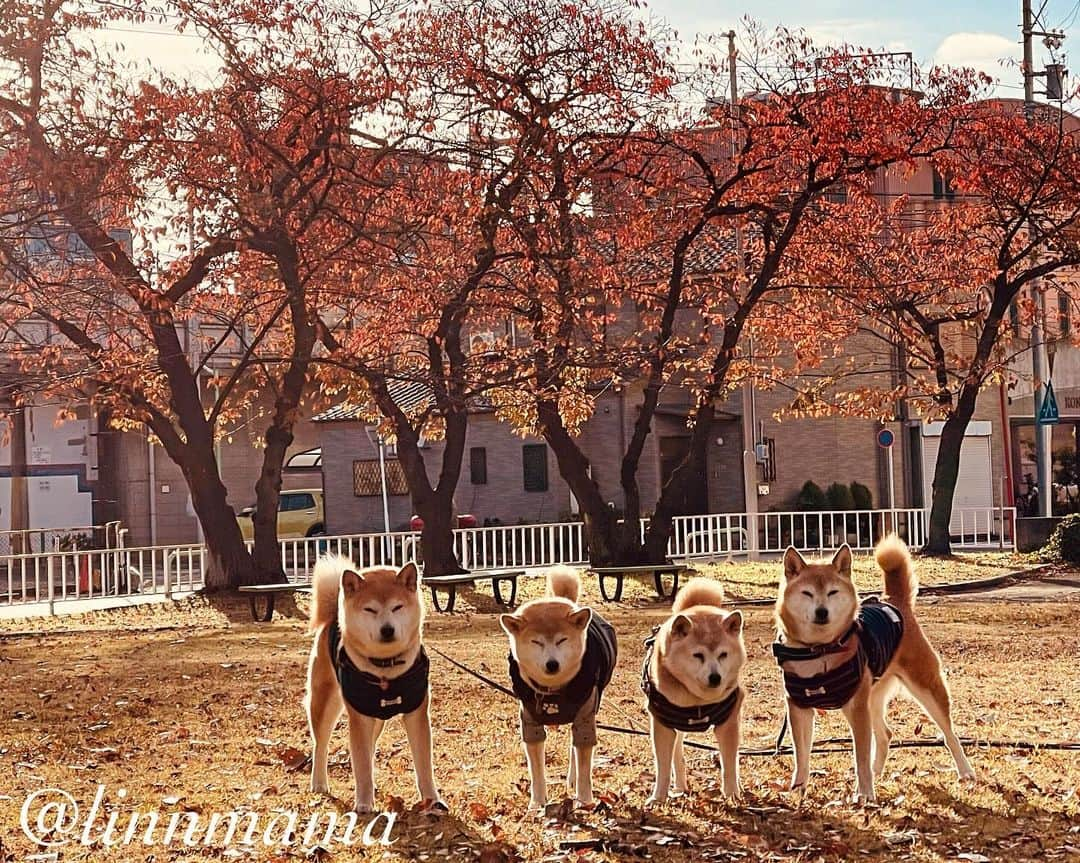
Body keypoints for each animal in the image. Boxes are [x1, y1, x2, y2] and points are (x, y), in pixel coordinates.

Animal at [304, 557, 442, 812]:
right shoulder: (359, 718)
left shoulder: (416, 713)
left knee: (369, 749)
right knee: (321, 745)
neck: (385, 669)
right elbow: (360, 765)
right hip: (325, 702)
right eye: (370, 609)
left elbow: (424, 765)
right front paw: (364, 803)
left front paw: (432, 800)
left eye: (397, 607)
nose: (387, 629)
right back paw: (319, 783)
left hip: (375, 718)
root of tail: (332, 616)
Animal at [496, 570, 617, 812]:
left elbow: (585, 768)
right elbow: (536, 772)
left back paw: (572, 779)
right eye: (536, 642)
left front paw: (585, 800)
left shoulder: (585, 718)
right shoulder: (530, 722)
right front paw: (537, 803)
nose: (552, 664)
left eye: (562, 640)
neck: (552, 692)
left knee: (575, 749)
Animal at [639, 578, 743, 807]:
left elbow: (729, 766)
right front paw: (658, 798)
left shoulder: (728, 723)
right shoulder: (662, 726)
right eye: (698, 655)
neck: (698, 701)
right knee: (677, 756)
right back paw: (679, 787)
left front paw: (732, 794)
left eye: (723, 655)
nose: (715, 677)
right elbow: (663, 767)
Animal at [773, 535, 976, 807]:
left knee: (950, 735)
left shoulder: (856, 709)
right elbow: (802, 754)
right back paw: (877, 772)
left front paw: (865, 794)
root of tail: (894, 601)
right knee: (885, 735)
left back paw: (965, 771)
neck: (819, 650)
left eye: (832, 592)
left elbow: (860, 756)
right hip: (872, 697)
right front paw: (798, 789)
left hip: (925, 688)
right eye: (807, 593)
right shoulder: (799, 708)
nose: (822, 612)